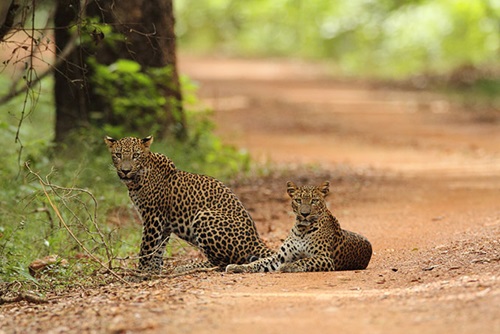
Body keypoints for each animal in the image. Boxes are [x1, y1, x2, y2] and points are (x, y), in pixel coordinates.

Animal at [102, 136, 274, 276]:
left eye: (135, 155)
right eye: (118, 155)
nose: (125, 170)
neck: (138, 179)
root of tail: (255, 239)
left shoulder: (153, 218)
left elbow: (147, 247)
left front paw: (139, 274)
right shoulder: (164, 224)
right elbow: (158, 249)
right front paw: (153, 271)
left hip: (204, 216)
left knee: (222, 263)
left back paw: (186, 267)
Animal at [227, 181, 372, 272]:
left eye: (314, 201)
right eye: (298, 200)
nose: (304, 214)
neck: (302, 229)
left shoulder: (325, 258)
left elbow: (305, 261)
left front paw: (288, 266)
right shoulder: (280, 257)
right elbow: (260, 262)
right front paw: (238, 267)